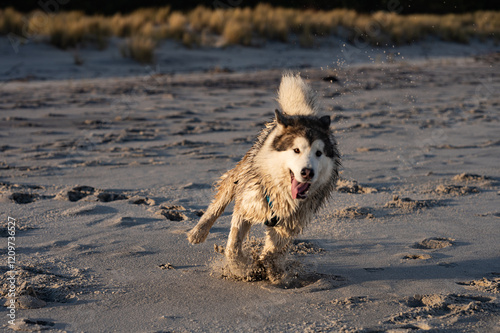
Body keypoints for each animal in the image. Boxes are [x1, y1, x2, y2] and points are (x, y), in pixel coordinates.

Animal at [187, 72, 340, 280]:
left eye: (319, 153)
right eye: (296, 150)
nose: (307, 172)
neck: (281, 194)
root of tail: (300, 115)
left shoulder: (291, 221)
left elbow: (273, 251)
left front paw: (269, 269)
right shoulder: (247, 203)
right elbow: (233, 246)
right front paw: (242, 267)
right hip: (241, 173)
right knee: (220, 200)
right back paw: (198, 232)